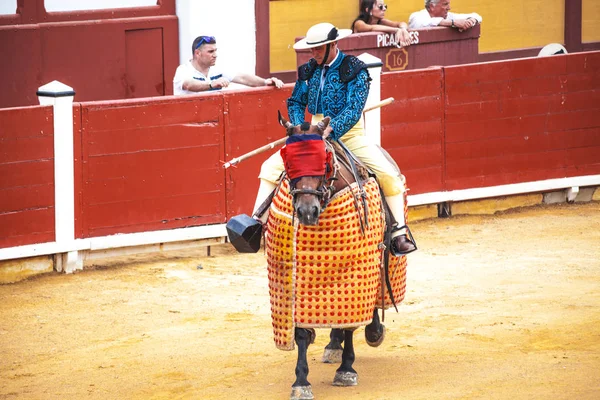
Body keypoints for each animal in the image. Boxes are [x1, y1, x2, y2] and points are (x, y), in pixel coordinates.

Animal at [264, 114, 412, 398]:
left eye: (325, 162)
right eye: (288, 162)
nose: (306, 211)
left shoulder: (357, 272)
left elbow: (350, 323)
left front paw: (346, 370)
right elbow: (301, 332)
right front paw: (301, 382)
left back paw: (373, 332)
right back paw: (332, 345)